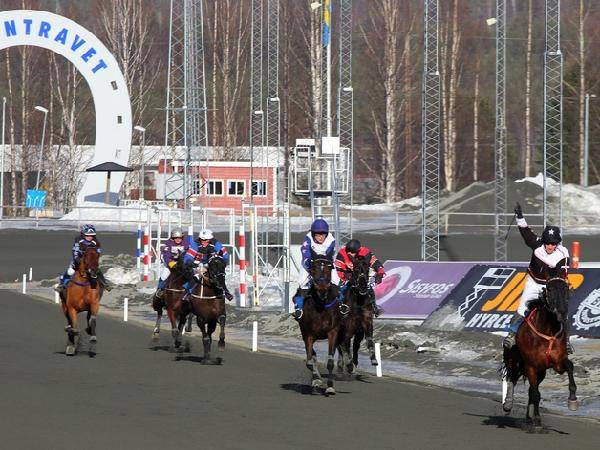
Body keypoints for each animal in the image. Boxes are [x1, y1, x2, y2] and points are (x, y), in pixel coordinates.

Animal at [296, 256, 342, 395]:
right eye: (313, 268)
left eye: (329, 268)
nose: (322, 288)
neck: (321, 307)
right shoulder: (308, 335)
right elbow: (310, 361)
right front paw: (316, 380)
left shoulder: (333, 332)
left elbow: (330, 361)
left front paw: (330, 387)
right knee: (313, 355)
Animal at [502, 275, 578, 429]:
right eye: (549, 289)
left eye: (566, 289)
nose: (562, 313)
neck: (547, 330)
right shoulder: (530, 366)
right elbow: (536, 394)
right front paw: (537, 419)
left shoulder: (557, 362)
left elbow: (569, 366)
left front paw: (572, 400)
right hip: (512, 361)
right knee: (512, 378)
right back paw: (508, 404)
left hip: (541, 371)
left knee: (531, 389)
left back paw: (528, 417)